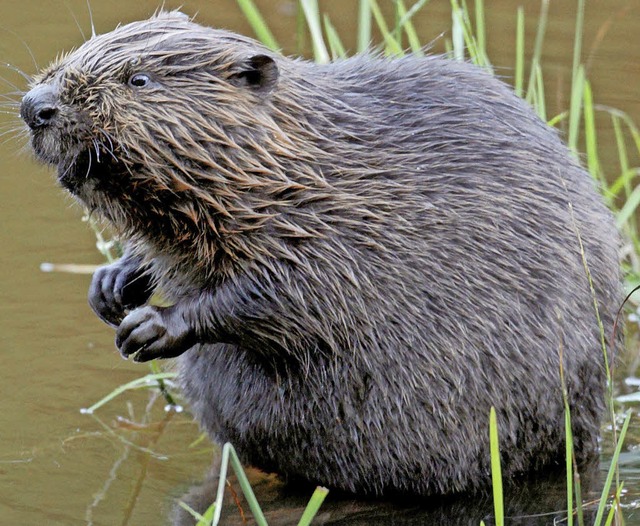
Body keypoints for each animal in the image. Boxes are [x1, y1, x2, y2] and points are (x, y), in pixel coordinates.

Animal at [20, 11, 620, 500]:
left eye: (139, 80)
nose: (35, 106)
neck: (296, 163)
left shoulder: (334, 229)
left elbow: (288, 297)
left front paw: (150, 327)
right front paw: (111, 285)